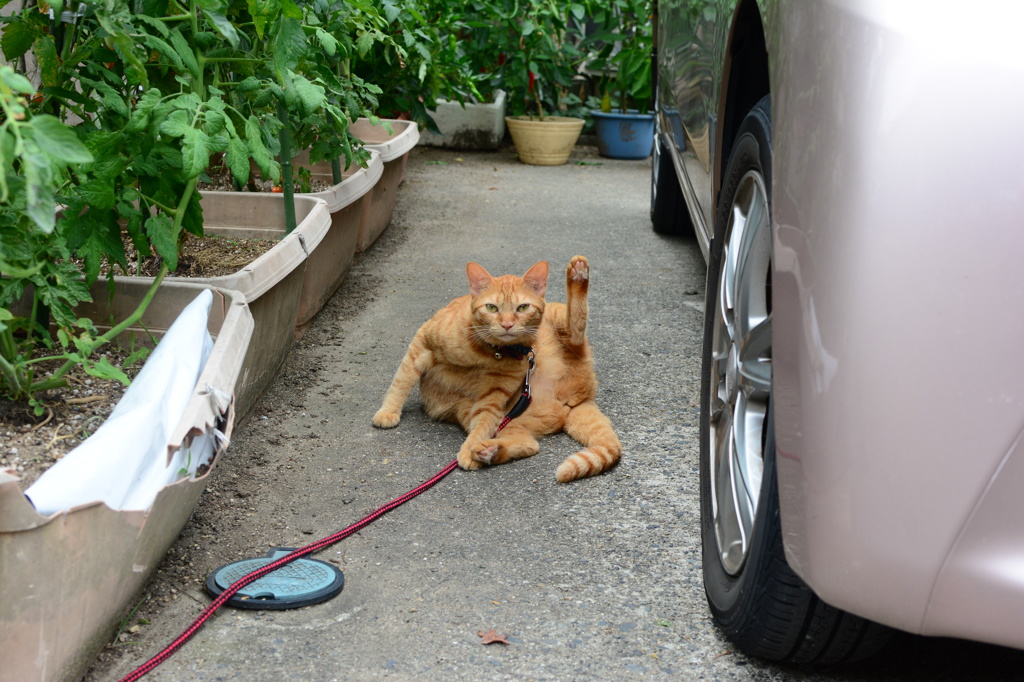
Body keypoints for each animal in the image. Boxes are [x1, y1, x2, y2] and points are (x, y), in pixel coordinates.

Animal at [372, 251, 618, 481]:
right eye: (491, 308)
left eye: (522, 308)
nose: (507, 324)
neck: (490, 351)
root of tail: (575, 400)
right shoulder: (422, 344)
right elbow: (402, 381)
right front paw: (388, 412)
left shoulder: (494, 393)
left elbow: (483, 423)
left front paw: (467, 451)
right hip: (484, 415)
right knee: (530, 444)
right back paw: (490, 451)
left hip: (558, 320)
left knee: (575, 331)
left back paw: (578, 276)